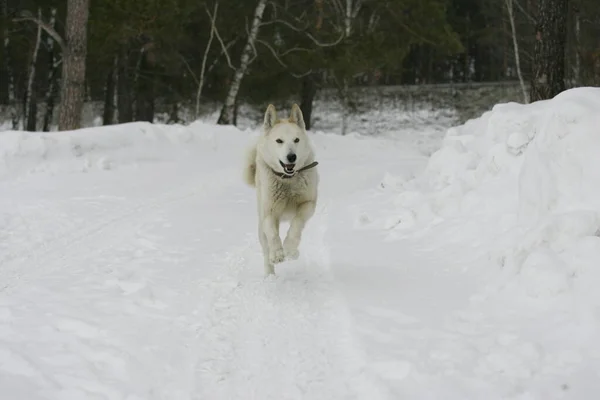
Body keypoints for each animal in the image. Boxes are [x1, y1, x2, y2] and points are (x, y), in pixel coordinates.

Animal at [243, 104, 318, 276]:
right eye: (279, 141)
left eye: (296, 140)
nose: (292, 157)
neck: (287, 179)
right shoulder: (269, 212)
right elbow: (272, 234)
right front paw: (277, 254)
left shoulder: (308, 204)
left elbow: (297, 224)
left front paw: (289, 248)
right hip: (261, 226)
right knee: (266, 249)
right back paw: (270, 273)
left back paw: (294, 253)